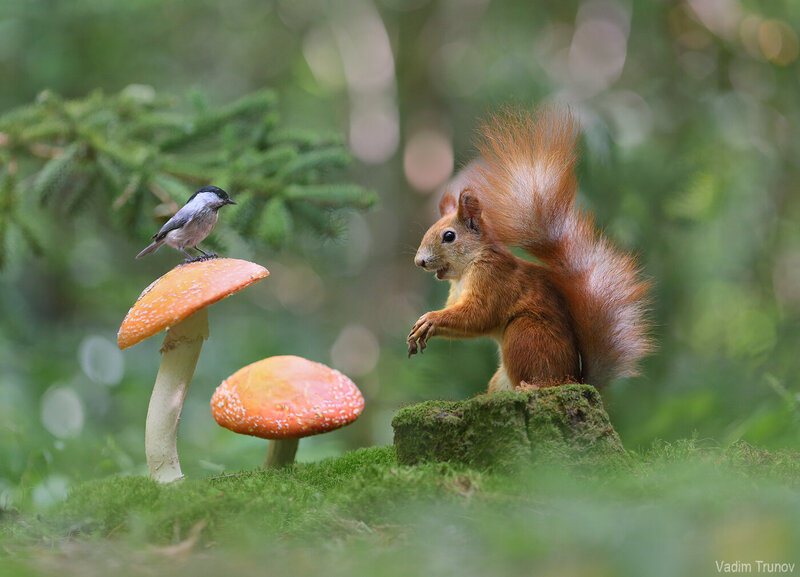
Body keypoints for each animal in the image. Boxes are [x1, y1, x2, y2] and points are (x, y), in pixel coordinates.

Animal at [407, 107, 652, 392]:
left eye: (449, 236)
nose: (420, 261)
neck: (467, 269)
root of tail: (573, 379)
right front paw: (421, 330)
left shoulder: (494, 279)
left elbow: (479, 315)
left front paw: (430, 319)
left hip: (525, 333)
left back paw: (532, 387)